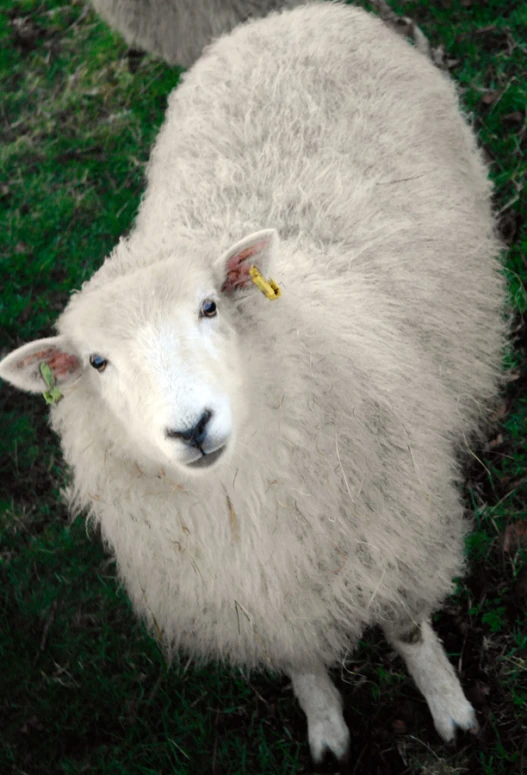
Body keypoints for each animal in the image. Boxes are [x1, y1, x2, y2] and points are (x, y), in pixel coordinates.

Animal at [0, 0, 508, 764]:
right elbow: (300, 662)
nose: (192, 427)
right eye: (96, 362)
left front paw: (450, 710)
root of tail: (288, 15)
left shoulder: (400, 535)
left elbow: (410, 631)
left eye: (209, 305)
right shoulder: (256, 595)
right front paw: (325, 730)